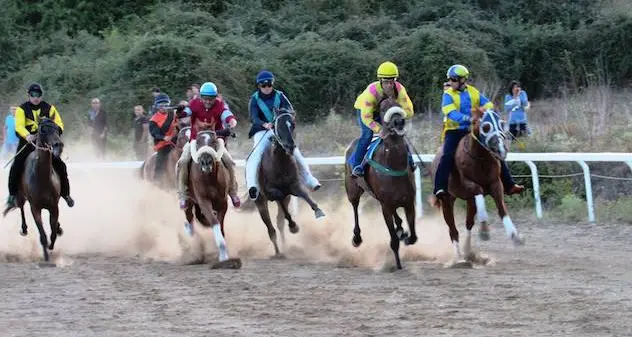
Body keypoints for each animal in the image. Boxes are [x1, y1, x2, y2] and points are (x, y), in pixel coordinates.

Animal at [1, 117, 65, 262]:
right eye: (43, 130)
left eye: (57, 128)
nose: (58, 145)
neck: (43, 180)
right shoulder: (35, 208)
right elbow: (43, 235)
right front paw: (46, 256)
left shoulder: (54, 206)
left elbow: (53, 232)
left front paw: (52, 244)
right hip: (20, 197)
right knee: (21, 208)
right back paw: (24, 229)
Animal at [184, 128, 243, 268]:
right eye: (198, 142)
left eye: (214, 141)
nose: (206, 162)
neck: (209, 179)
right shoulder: (203, 201)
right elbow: (214, 221)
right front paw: (223, 255)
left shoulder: (222, 202)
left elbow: (220, 225)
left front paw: (224, 255)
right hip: (188, 200)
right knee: (189, 217)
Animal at [253, 106, 326, 256]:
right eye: (278, 126)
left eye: (292, 124)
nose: (290, 146)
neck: (280, 162)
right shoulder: (272, 192)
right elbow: (281, 203)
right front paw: (293, 226)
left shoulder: (293, 185)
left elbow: (304, 195)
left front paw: (318, 210)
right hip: (260, 202)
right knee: (270, 228)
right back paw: (278, 252)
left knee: (279, 223)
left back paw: (285, 247)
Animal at [344, 96, 418, 270]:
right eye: (383, 109)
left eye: (399, 105)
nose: (399, 122)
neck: (394, 164)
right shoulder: (385, 207)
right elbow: (394, 240)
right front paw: (398, 263)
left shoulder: (408, 202)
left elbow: (413, 237)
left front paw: (405, 235)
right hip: (353, 190)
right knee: (355, 207)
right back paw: (357, 238)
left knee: (397, 216)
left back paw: (401, 228)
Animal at [428, 107, 524, 266]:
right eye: (486, 127)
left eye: (501, 123)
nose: (502, 149)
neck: (480, 159)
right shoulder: (468, 184)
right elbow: (478, 190)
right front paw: (484, 230)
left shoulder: (495, 184)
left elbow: (502, 209)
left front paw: (515, 236)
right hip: (447, 200)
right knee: (453, 230)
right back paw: (459, 257)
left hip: (469, 201)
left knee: (468, 224)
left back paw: (468, 252)